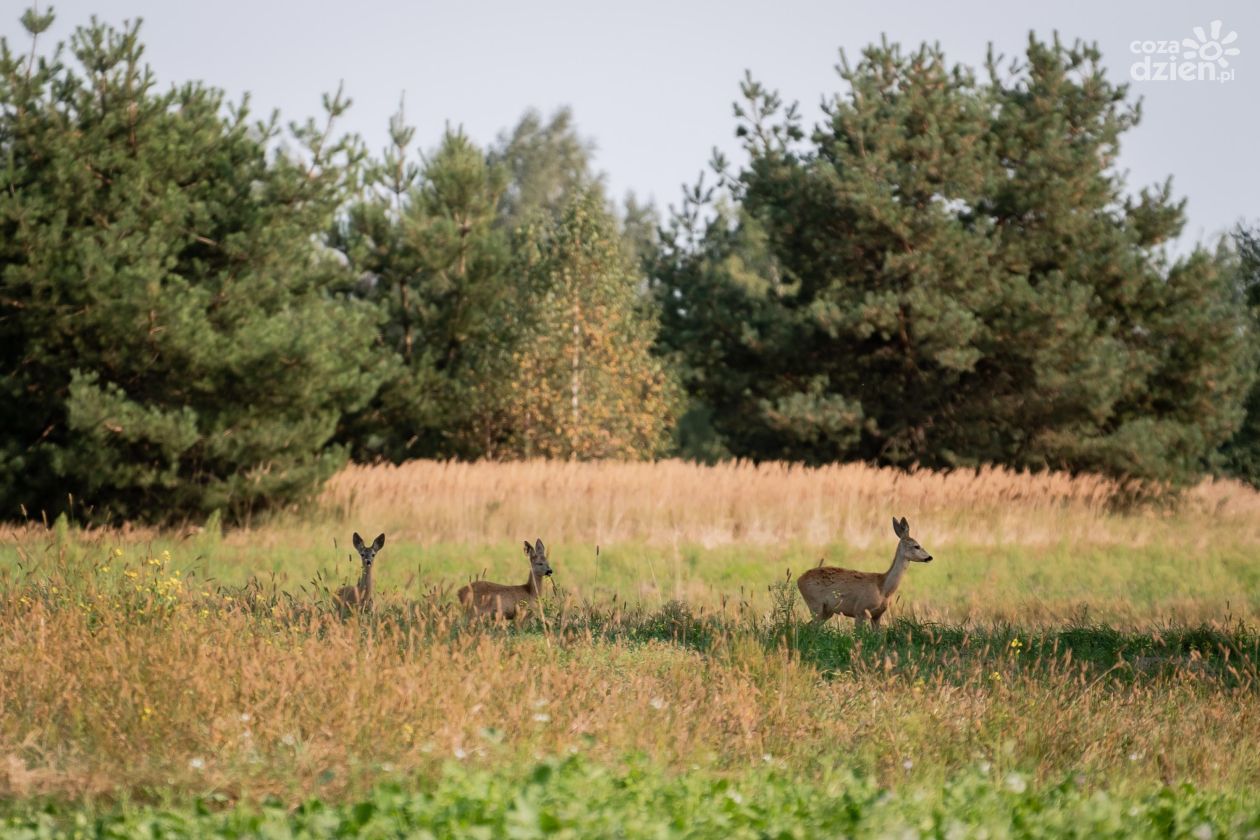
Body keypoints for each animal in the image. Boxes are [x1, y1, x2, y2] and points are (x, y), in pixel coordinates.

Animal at [796, 518, 937, 629]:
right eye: (916, 546)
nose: (929, 557)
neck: (883, 588)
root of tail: (799, 579)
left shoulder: (877, 615)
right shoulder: (860, 611)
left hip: (826, 611)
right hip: (815, 604)